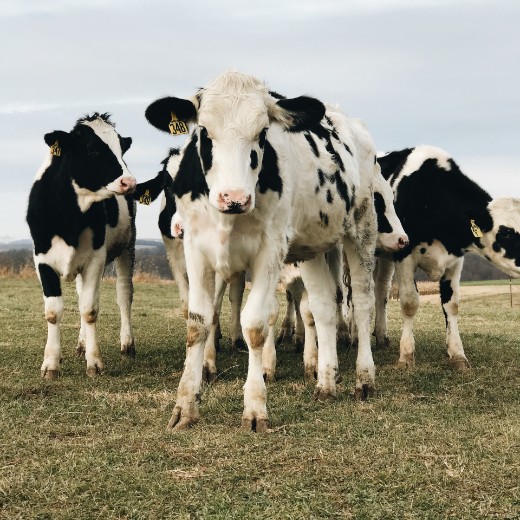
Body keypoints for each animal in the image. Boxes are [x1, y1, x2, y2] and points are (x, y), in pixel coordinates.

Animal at [26, 112, 136, 378]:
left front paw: (94, 363)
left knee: (124, 294)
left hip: (127, 247)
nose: (129, 182)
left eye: (121, 148)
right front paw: (51, 363)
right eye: (92, 149)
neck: (70, 216)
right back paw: (82, 344)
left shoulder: (95, 258)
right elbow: (54, 311)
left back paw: (127, 344)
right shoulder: (42, 258)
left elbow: (89, 309)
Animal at [144, 71, 384, 432]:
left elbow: (255, 325)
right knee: (324, 307)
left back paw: (364, 379)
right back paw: (326, 383)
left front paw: (255, 407)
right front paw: (185, 406)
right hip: (313, 246)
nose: (234, 197)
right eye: (204, 131)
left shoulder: (270, 251)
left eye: (262, 133)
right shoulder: (196, 249)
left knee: (362, 303)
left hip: (361, 229)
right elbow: (197, 322)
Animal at [374, 144, 520, 368]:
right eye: (506, 233)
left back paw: (381, 336)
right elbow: (409, 302)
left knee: (381, 290)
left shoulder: (455, 260)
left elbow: (452, 305)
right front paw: (406, 355)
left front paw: (457, 354)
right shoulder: (404, 255)